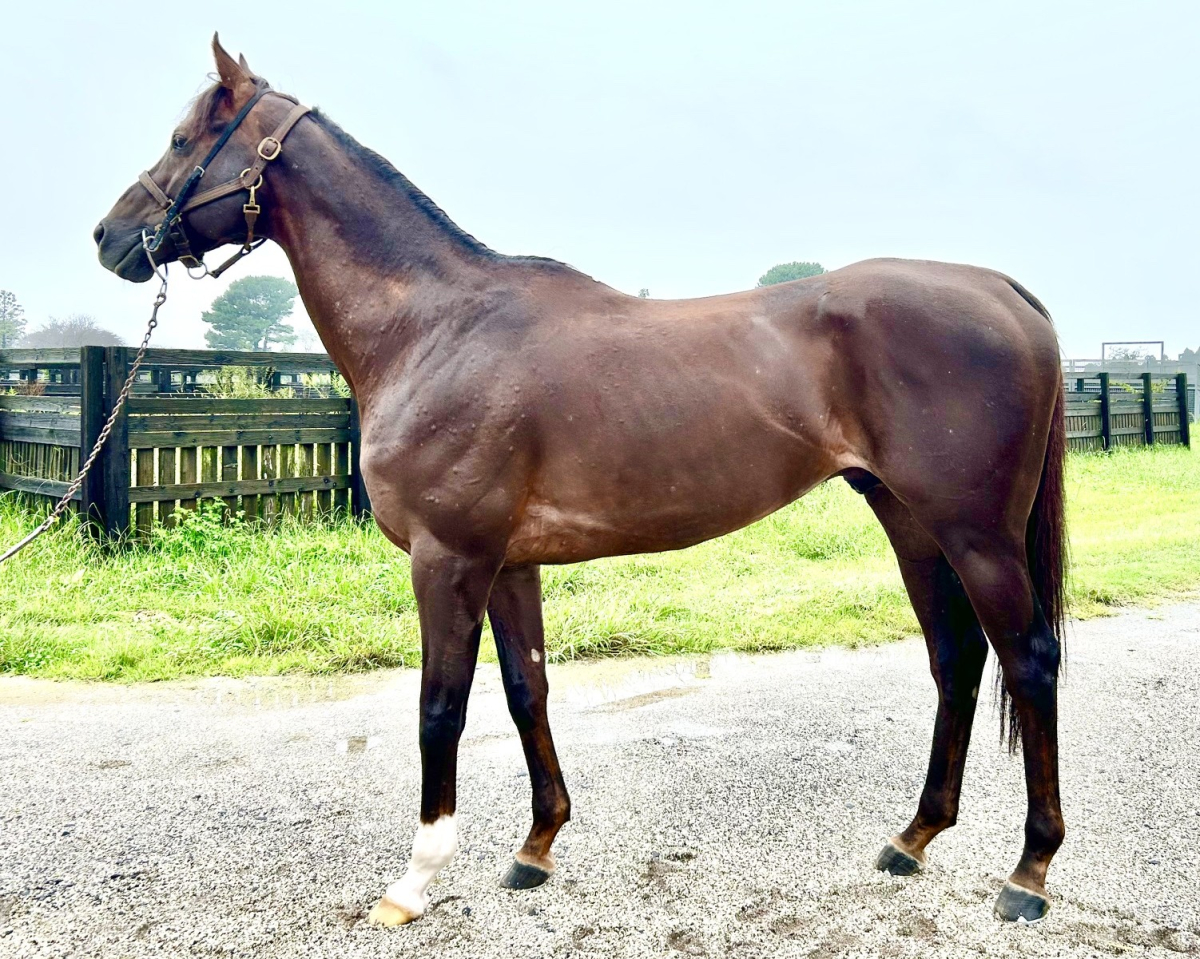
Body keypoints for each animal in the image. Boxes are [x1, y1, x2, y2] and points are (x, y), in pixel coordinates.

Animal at [95, 36, 1068, 927]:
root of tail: (1003, 291)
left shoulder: (447, 559)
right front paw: (536, 846)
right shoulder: (508, 563)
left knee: (1029, 659)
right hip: (909, 520)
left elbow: (440, 707)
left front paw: (414, 879)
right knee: (957, 657)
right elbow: (526, 689)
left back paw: (1028, 873)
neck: (436, 328)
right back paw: (912, 838)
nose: (109, 237)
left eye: (183, 139)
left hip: (976, 533)